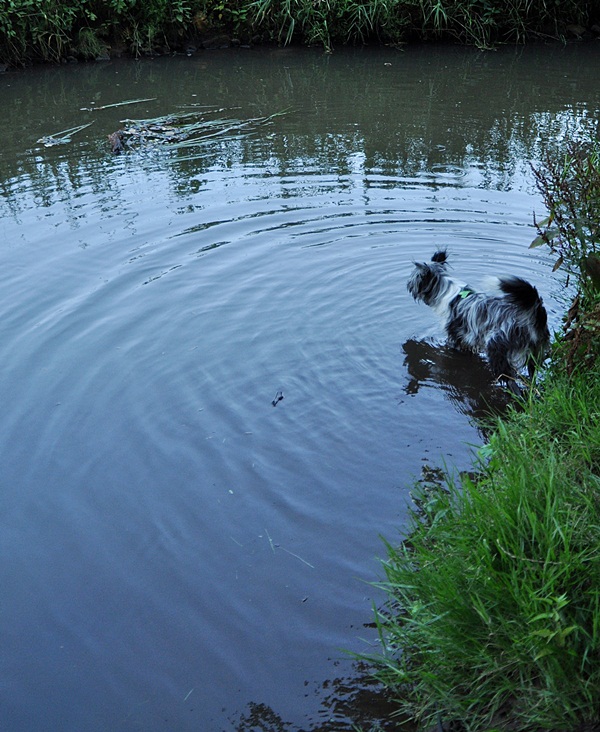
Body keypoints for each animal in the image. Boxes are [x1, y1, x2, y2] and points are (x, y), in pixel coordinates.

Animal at [406, 249, 552, 392]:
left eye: (413, 278)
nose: (408, 285)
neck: (448, 291)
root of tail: (532, 313)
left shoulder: (456, 336)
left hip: (497, 350)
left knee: (510, 380)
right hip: (534, 355)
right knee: (532, 376)